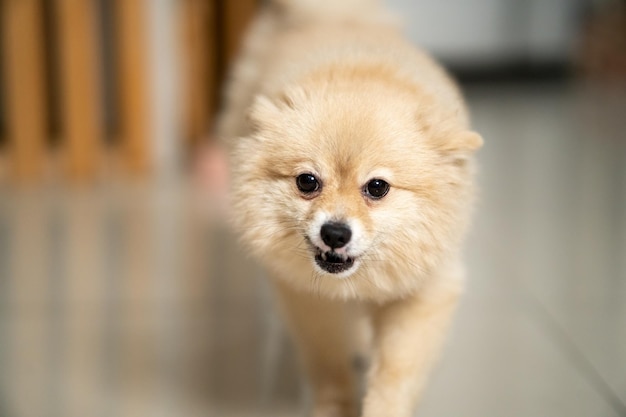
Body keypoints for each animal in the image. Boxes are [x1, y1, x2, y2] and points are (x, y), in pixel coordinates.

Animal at [217, 1, 480, 414]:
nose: (335, 233)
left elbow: (396, 372)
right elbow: (328, 364)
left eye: (377, 188)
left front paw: (383, 406)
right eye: (307, 182)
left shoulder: (424, 292)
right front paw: (334, 406)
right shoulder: (308, 299)